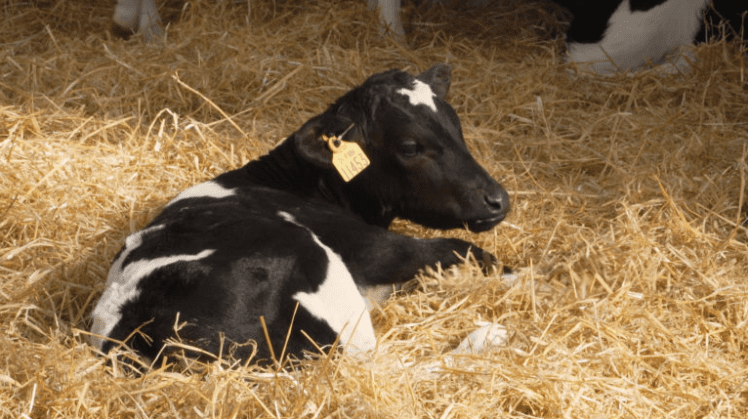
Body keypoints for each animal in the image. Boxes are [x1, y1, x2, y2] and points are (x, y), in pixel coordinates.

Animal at [89, 64, 511, 365]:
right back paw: (486, 337)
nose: (498, 200)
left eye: (455, 127)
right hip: (312, 257)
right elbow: (463, 249)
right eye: (409, 146)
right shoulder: (368, 246)